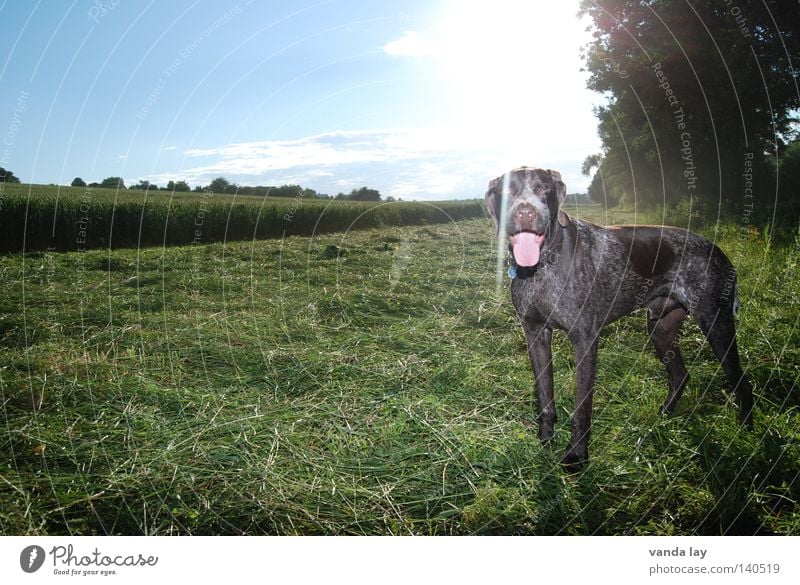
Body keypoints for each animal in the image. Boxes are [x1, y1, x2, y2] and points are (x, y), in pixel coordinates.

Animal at [484, 167, 752, 468]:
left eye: (543, 188)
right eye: (507, 190)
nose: (526, 213)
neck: (542, 266)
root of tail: (718, 250)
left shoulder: (585, 339)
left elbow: (582, 406)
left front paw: (577, 456)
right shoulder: (535, 334)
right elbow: (545, 396)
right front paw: (545, 440)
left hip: (716, 323)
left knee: (742, 382)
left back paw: (745, 433)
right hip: (660, 328)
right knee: (680, 375)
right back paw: (664, 415)